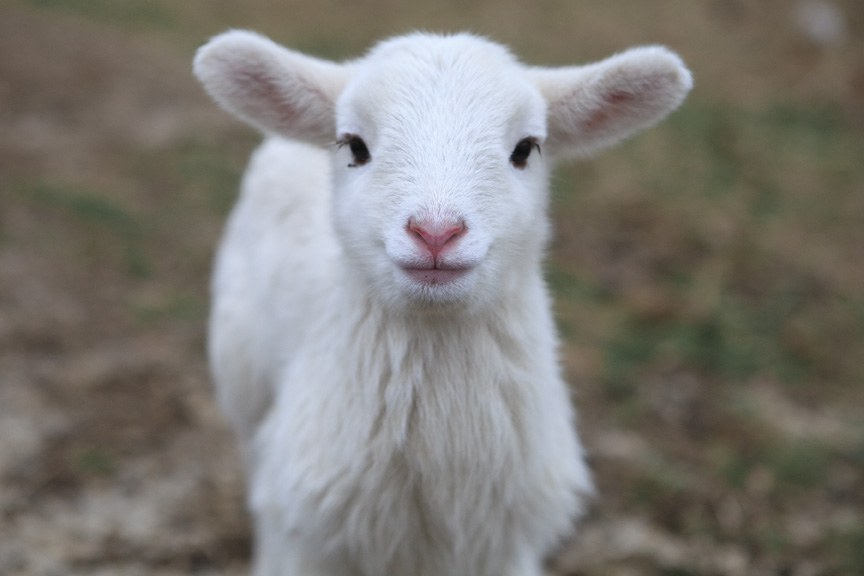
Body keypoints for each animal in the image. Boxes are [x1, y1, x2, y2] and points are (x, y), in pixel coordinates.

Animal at [194, 30, 692, 576]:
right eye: (354, 146)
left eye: (526, 148)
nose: (436, 232)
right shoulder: (306, 530)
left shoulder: (505, 545)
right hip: (243, 383)